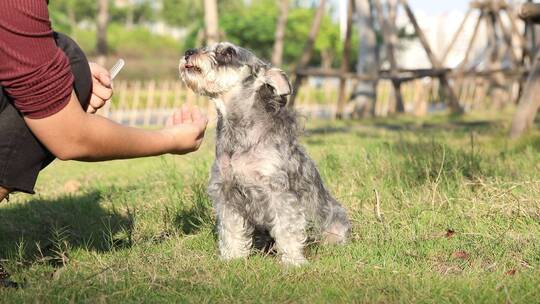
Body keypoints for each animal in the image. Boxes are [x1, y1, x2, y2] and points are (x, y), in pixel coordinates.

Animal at [179, 41, 352, 264]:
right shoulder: (226, 194)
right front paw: (232, 258)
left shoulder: (279, 193)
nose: (188, 52)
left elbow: (288, 229)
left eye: (228, 52)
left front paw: (293, 261)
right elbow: (231, 230)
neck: (239, 136)